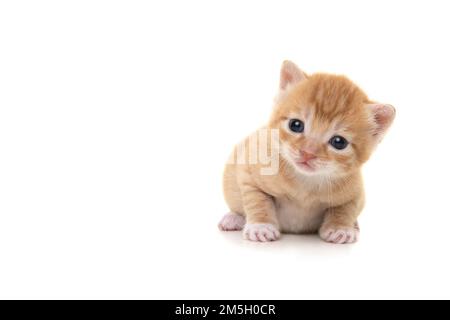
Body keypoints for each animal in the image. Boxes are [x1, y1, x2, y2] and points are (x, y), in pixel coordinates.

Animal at [220, 60, 396, 244]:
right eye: (296, 125)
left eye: (339, 142)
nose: (307, 153)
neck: (306, 181)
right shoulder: (248, 173)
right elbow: (257, 199)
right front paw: (261, 226)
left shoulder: (356, 191)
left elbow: (346, 208)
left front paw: (340, 227)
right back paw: (233, 218)